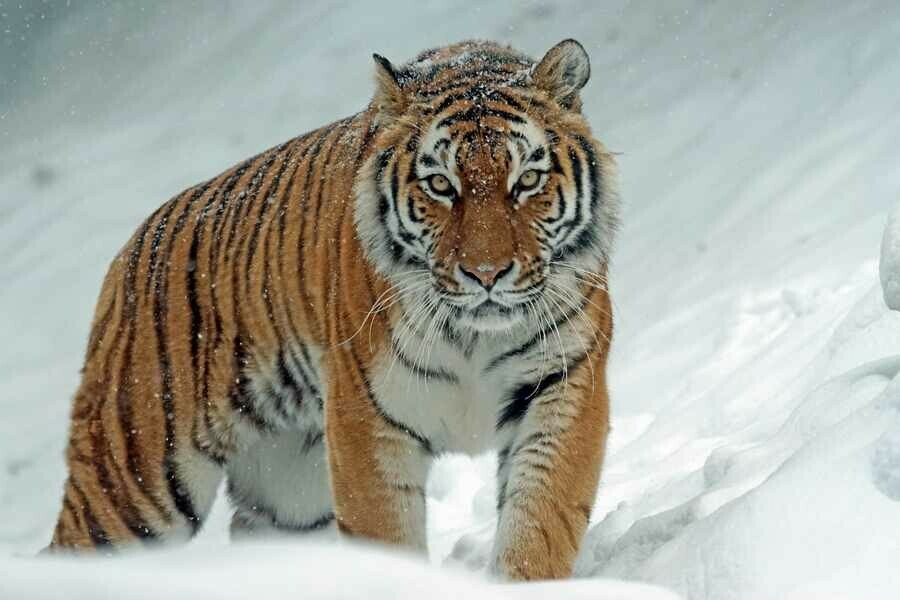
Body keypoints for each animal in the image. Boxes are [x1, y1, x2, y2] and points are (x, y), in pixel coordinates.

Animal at [47, 38, 620, 580]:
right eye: (440, 185)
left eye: (527, 181)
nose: (485, 274)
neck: (475, 335)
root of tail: (129, 251)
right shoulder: (366, 419)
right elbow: (387, 537)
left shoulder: (564, 387)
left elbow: (539, 523)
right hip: (133, 481)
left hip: (289, 497)